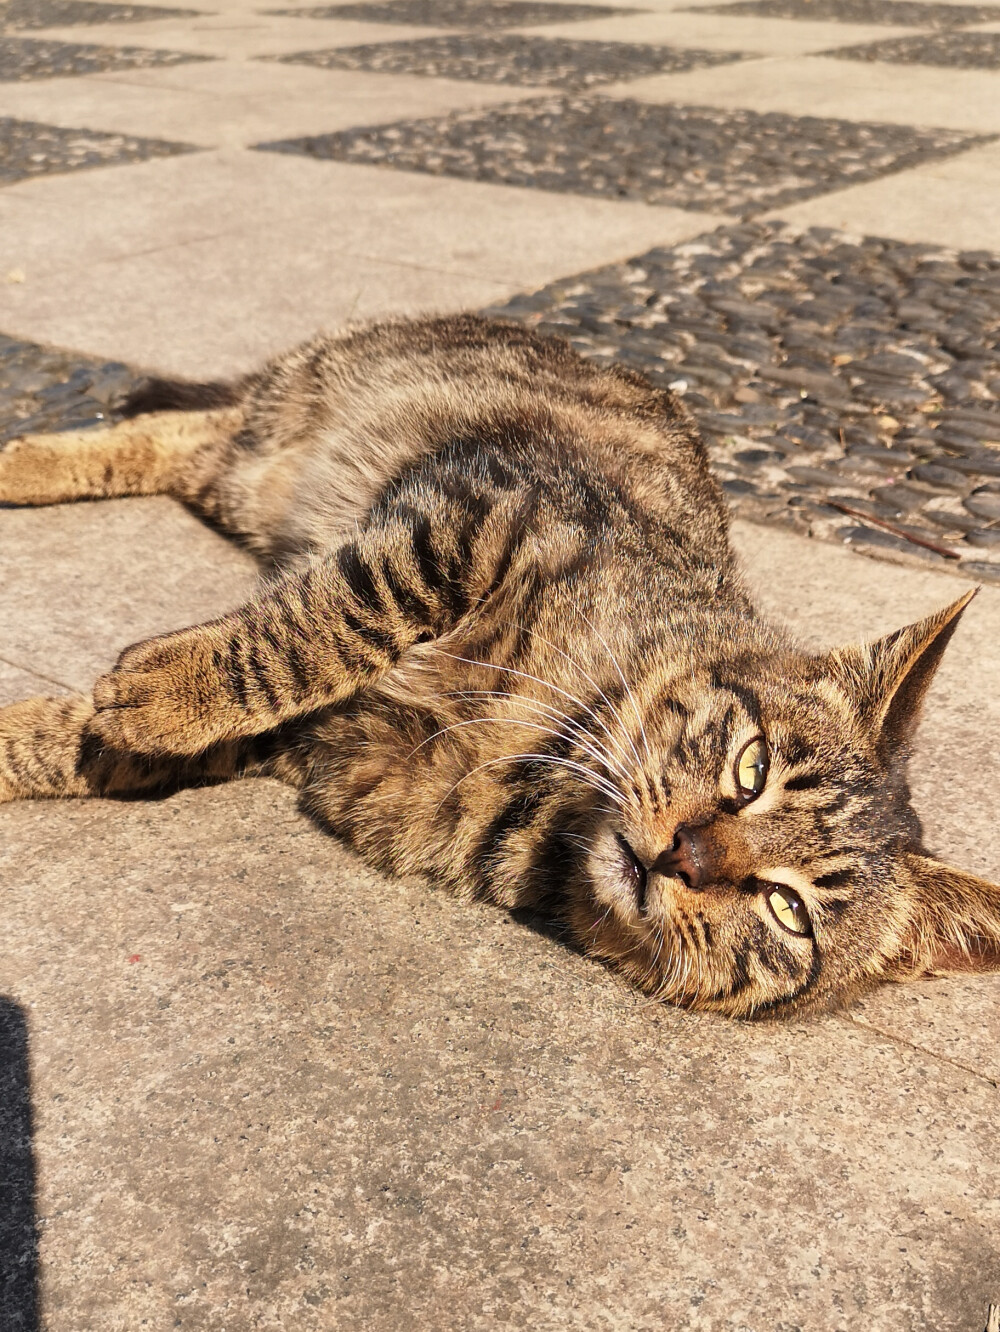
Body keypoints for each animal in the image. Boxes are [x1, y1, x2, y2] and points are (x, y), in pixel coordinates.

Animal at [1, 314, 1000, 1017]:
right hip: (296, 427)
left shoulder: (317, 736)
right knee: (184, 422)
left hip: (243, 480)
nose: (686, 854)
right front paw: (169, 689)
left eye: (788, 910)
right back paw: (22, 459)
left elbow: (95, 740)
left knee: (184, 441)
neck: (546, 777)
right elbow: (336, 618)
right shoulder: (473, 511)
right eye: (751, 769)